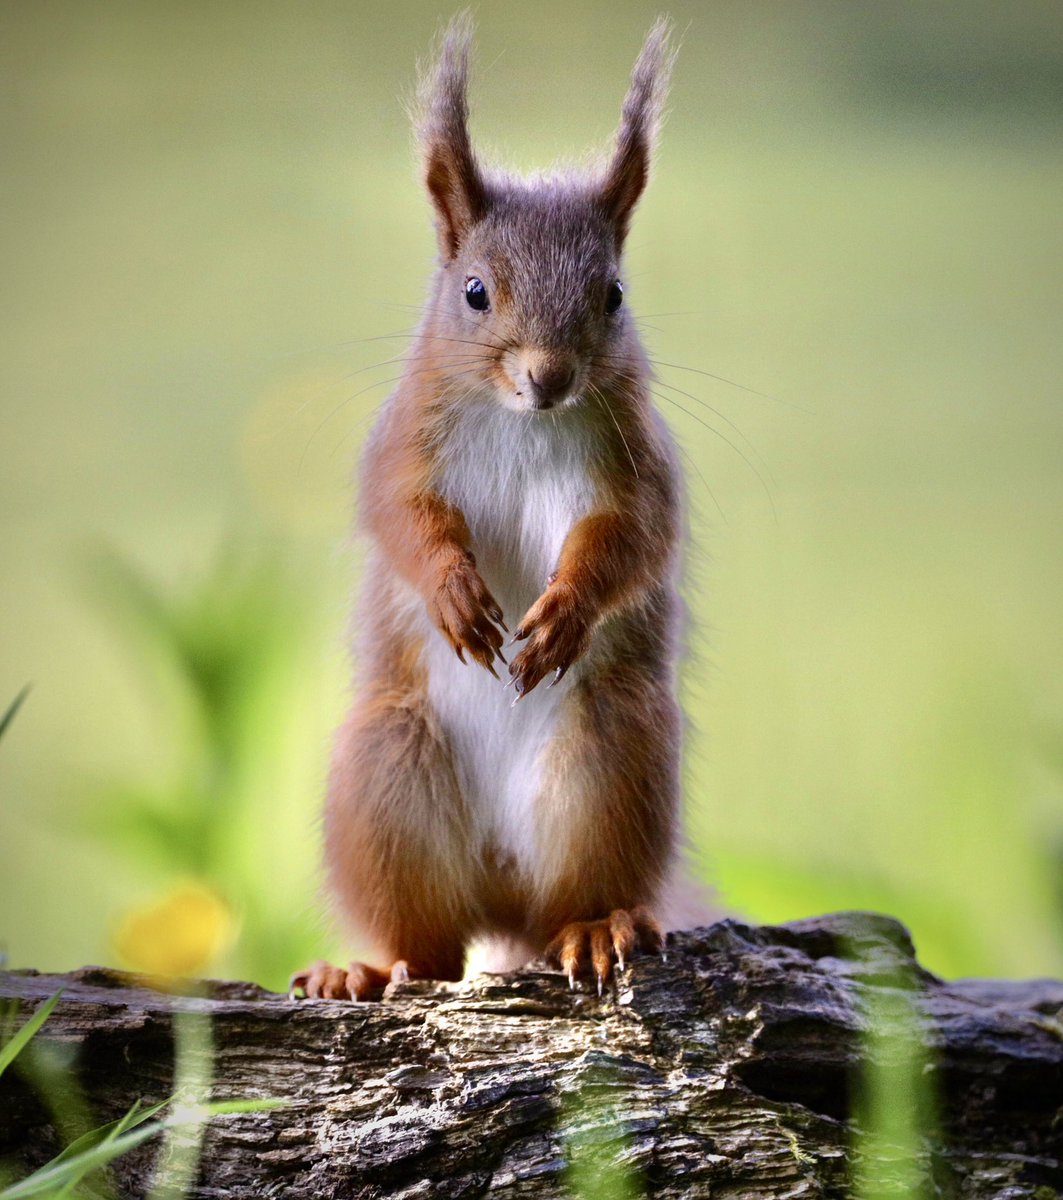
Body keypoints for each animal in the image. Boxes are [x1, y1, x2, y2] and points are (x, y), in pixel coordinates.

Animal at [291, 14, 691, 998]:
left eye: (613, 295)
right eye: (473, 292)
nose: (547, 377)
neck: (523, 421)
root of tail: (503, 890)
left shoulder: (634, 469)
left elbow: (629, 541)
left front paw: (562, 615)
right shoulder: (405, 444)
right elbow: (403, 516)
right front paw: (454, 594)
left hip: (611, 764)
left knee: (570, 902)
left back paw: (595, 930)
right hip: (385, 777)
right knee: (426, 944)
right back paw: (364, 971)